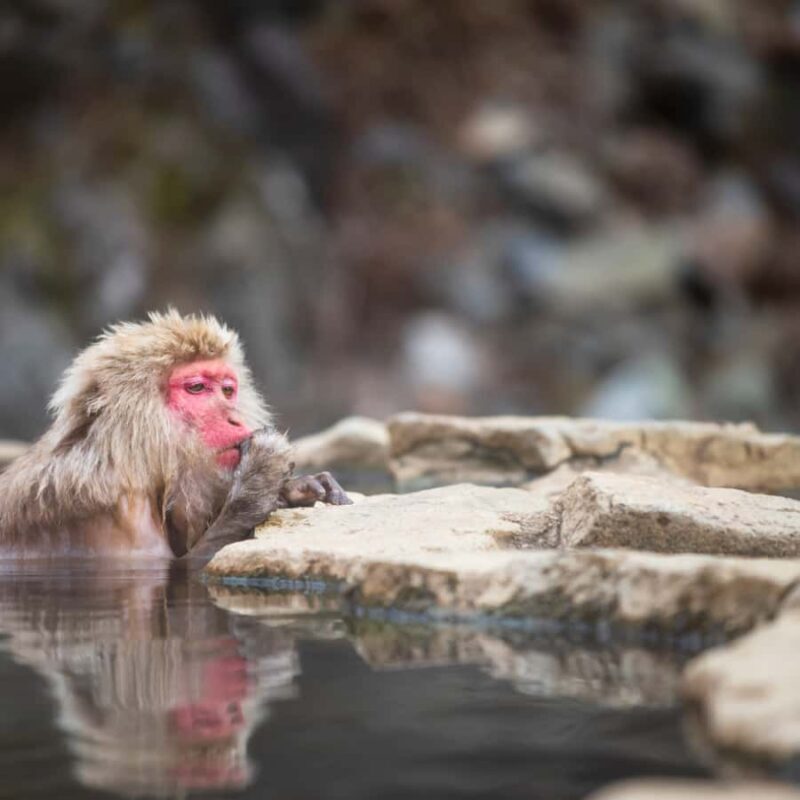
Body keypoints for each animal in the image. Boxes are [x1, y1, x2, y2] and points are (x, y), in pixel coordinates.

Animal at [0, 310, 350, 563]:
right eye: (197, 388)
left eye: (227, 390)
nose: (234, 418)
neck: (127, 457)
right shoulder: (114, 515)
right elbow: (180, 567)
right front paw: (261, 477)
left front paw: (296, 489)